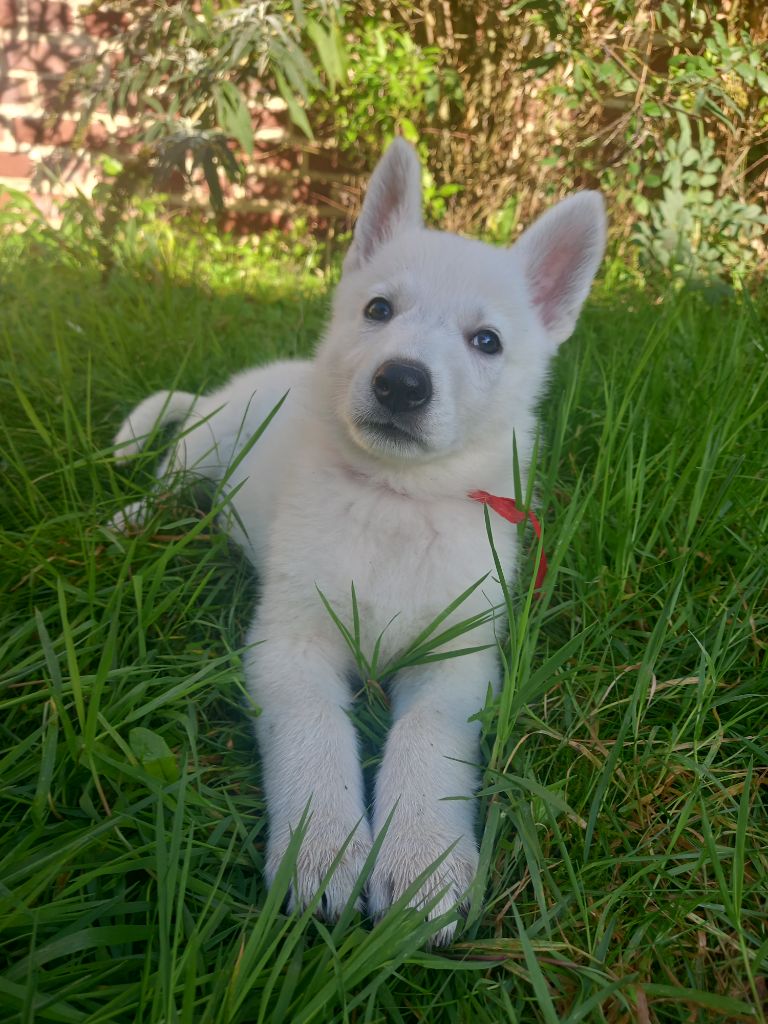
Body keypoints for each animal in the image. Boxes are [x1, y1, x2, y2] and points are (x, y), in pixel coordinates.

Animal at [114, 140, 606, 946]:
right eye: (379, 309)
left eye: (487, 341)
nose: (402, 382)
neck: (395, 503)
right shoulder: (290, 643)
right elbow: (315, 731)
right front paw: (324, 847)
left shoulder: (457, 660)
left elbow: (424, 736)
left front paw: (420, 860)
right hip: (204, 448)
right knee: (164, 482)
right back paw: (127, 523)